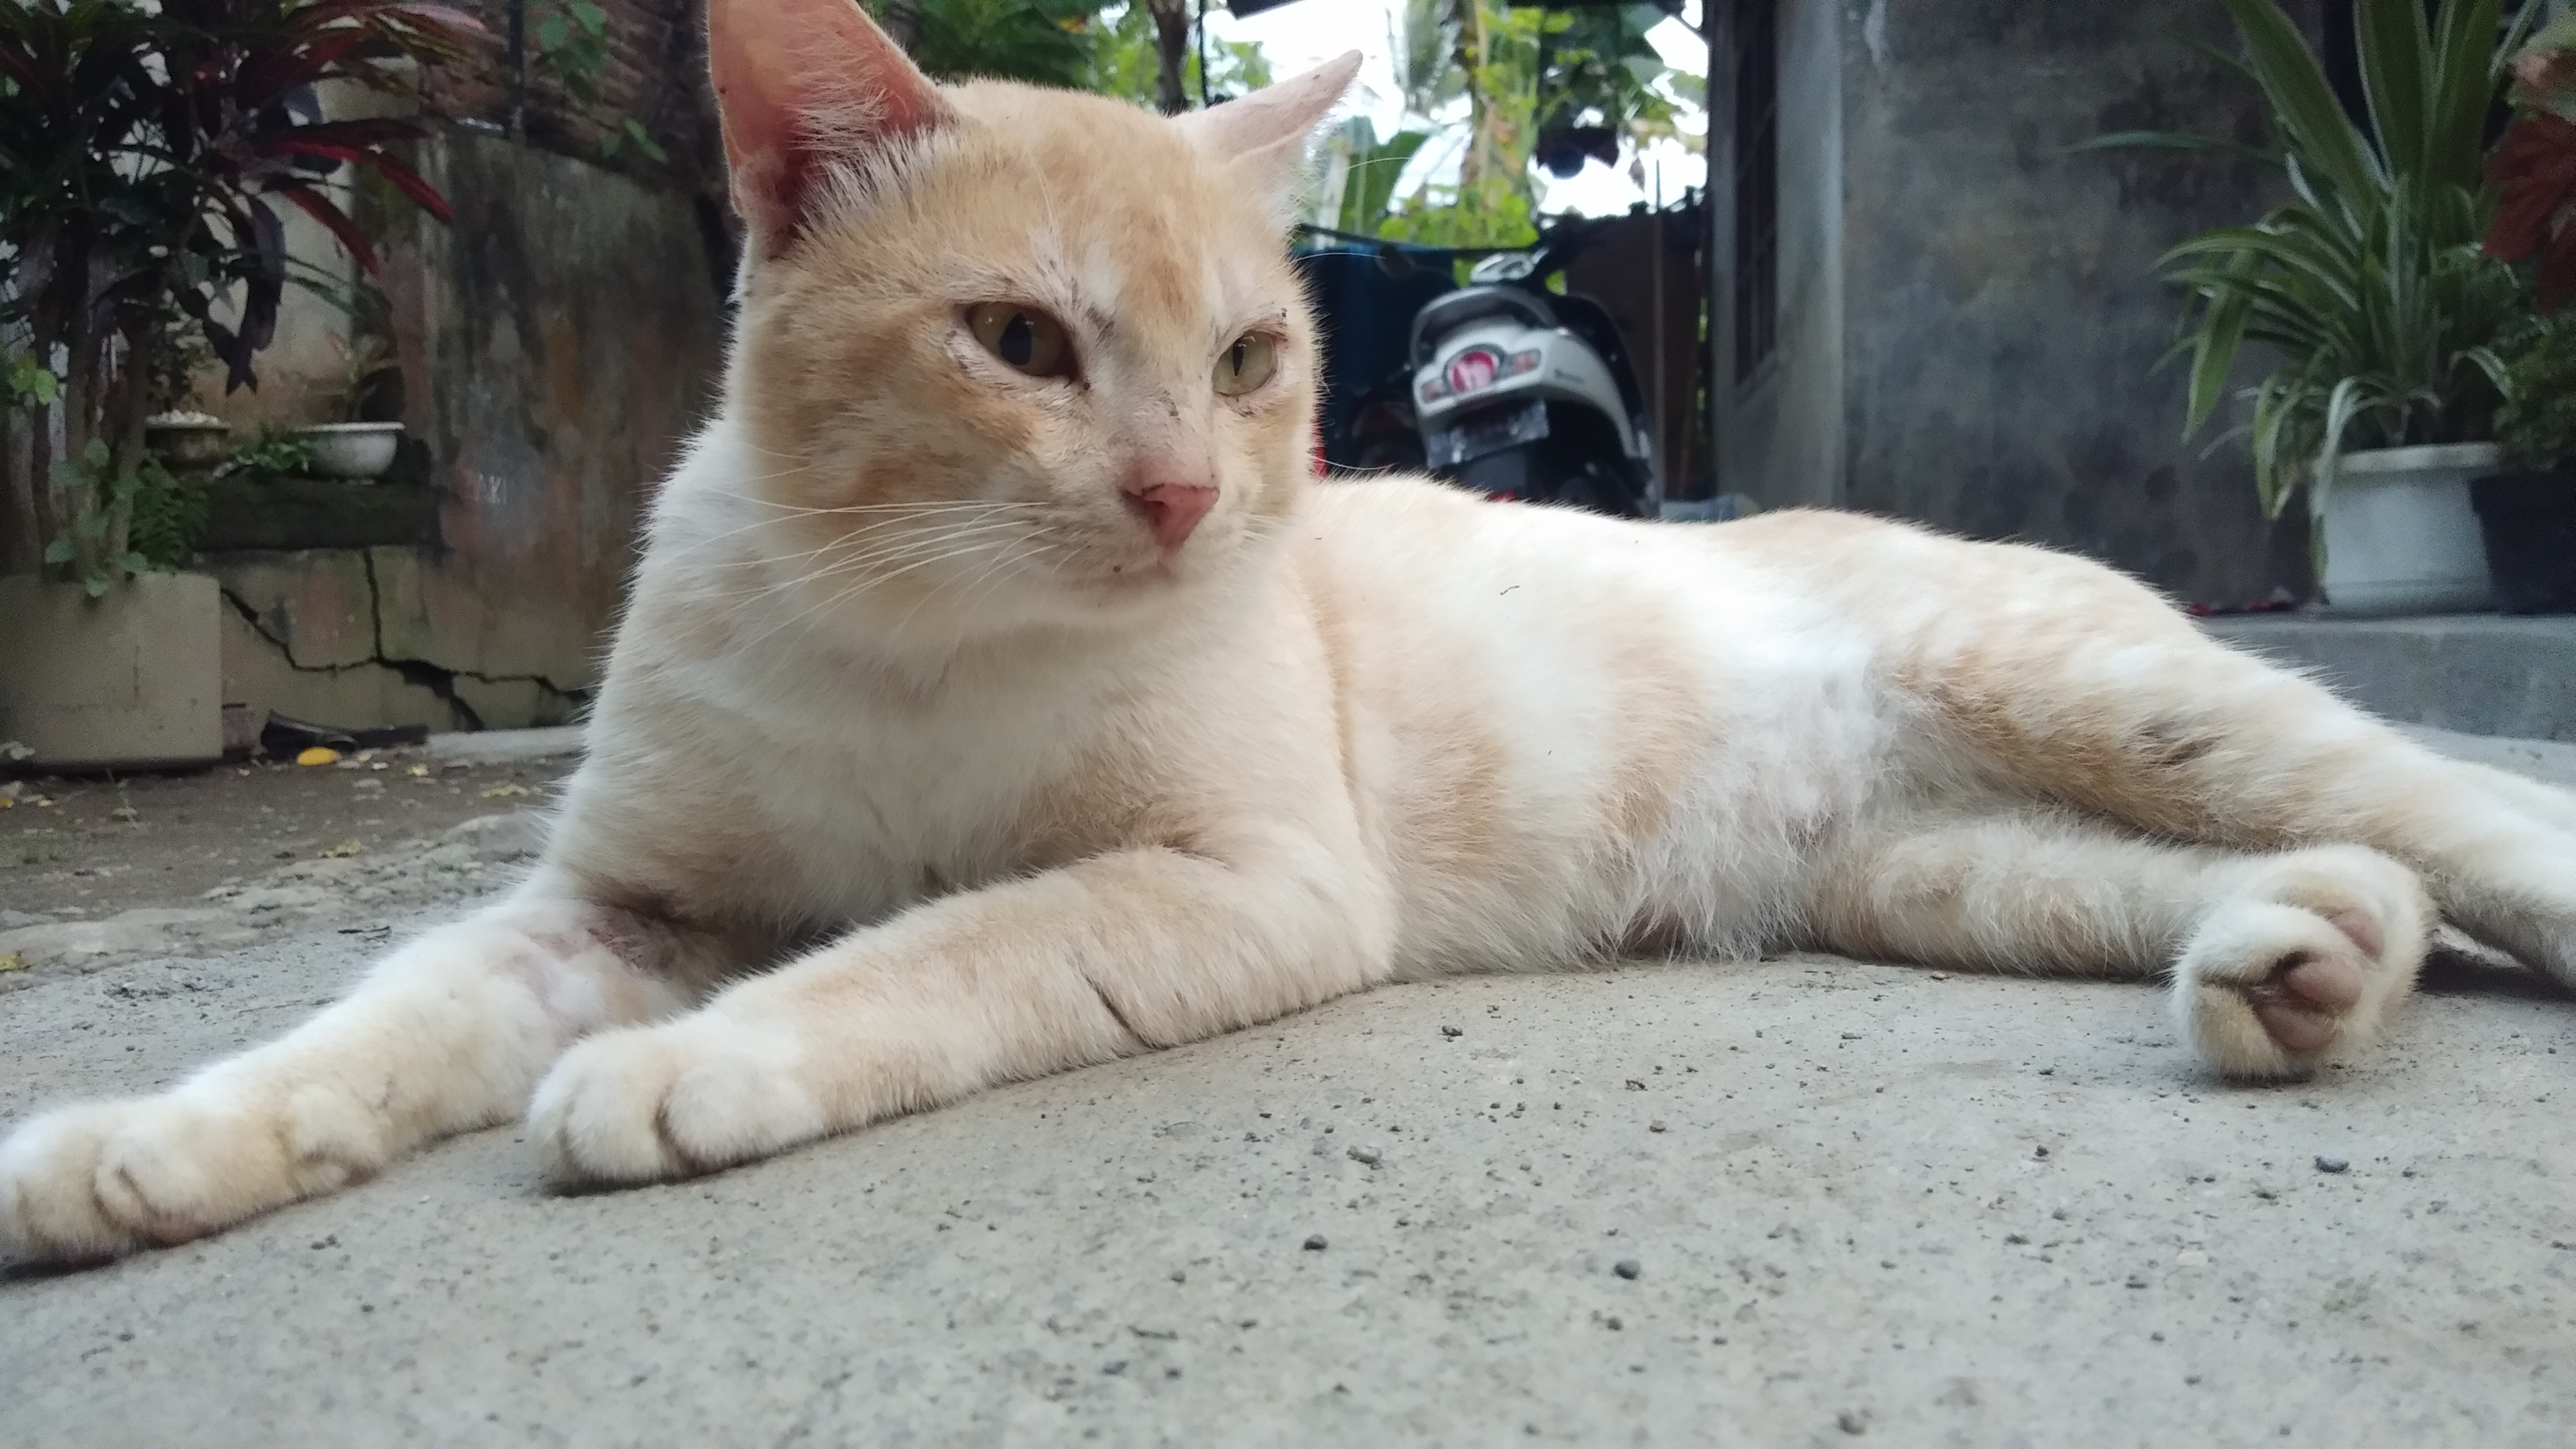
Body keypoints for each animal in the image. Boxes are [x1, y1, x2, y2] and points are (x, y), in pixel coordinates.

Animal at [6, 0, 2574, 1267]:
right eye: (1019, 344)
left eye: (1246, 358)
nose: (1180, 492)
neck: (909, 632)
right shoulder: (611, 905)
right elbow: (365, 1024)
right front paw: (138, 1147)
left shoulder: (1231, 881)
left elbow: (935, 947)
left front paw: (690, 1070)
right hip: (1957, 872)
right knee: (2349, 881)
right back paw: (2296, 973)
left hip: (2110, 700)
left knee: (2467, 815)